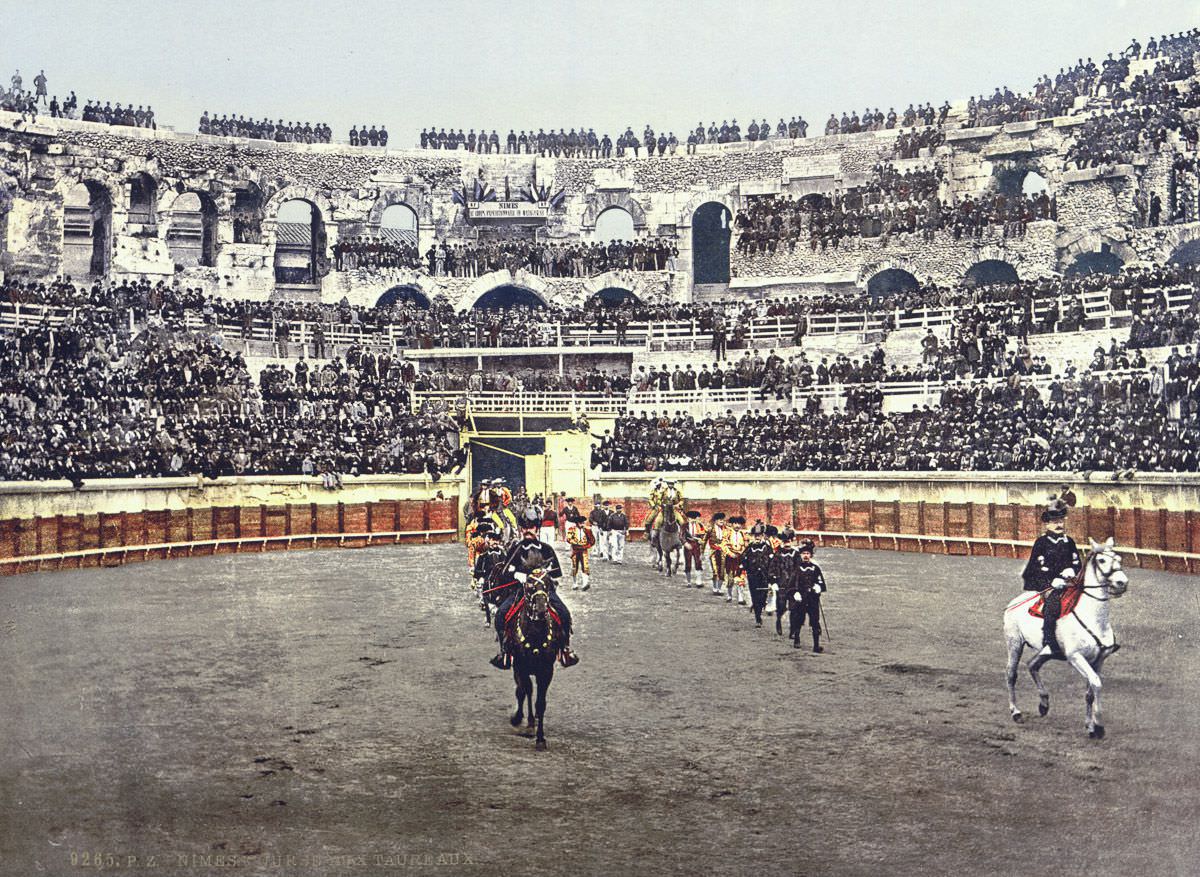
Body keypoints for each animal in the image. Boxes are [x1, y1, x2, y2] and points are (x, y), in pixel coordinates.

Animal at [501, 573, 566, 753]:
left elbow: (540, 703)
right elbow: (525, 690)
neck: (535, 634)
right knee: (524, 690)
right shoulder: (520, 667)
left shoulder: (546, 671)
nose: (542, 609)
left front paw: (540, 739)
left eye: (548, 584)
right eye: (529, 585)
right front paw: (523, 721)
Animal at [1008, 537, 1128, 739]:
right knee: (1011, 675)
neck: (1094, 618)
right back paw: (1016, 712)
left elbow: (1090, 691)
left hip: (1047, 651)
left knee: (1032, 665)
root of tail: (1013, 603)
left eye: (1118, 558)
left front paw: (1090, 727)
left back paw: (1044, 703)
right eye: (1102, 560)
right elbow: (1097, 683)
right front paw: (1098, 725)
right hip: (1014, 644)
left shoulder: (1098, 660)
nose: (1122, 582)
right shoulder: (1076, 657)